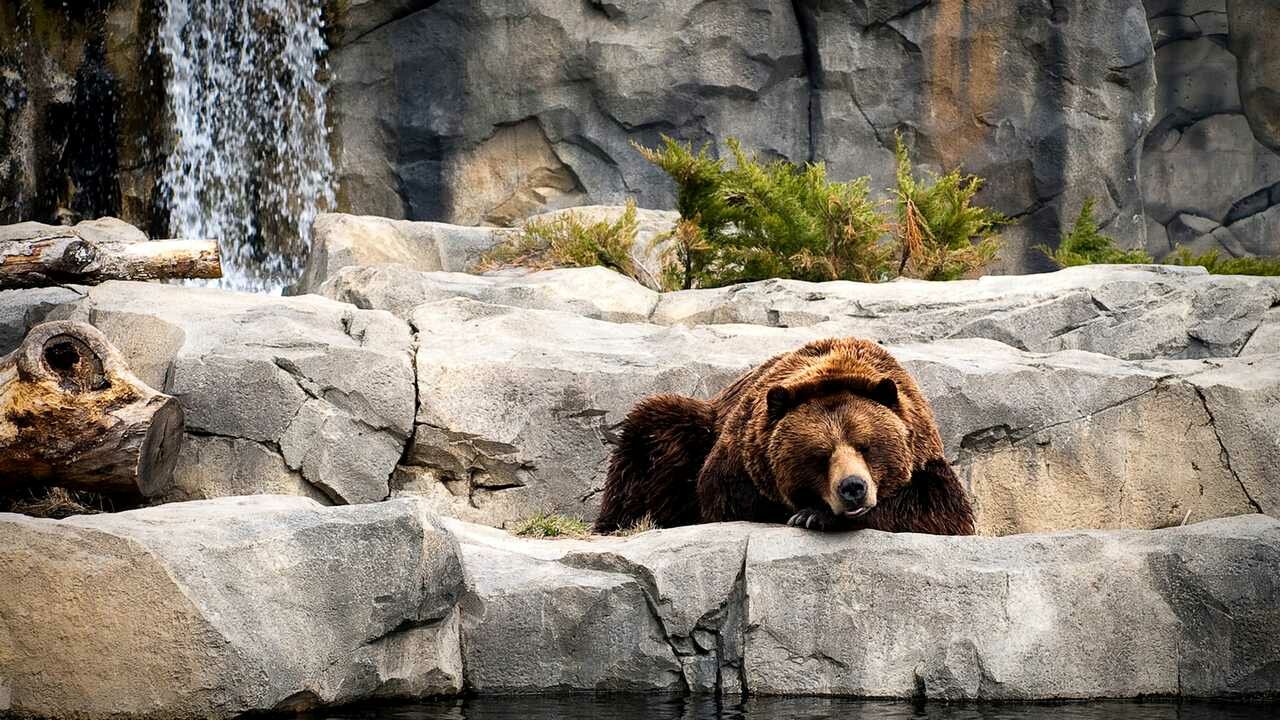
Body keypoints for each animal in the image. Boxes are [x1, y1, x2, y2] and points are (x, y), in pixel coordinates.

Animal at [593, 335, 972, 532]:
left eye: (865, 446)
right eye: (820, 456)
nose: (853, 488)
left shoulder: (924, 454)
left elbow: (939, 510)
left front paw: (814, 515)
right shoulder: (740, 457)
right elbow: (723, 496)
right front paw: (808, 512)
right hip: (693, 426)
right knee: (652, 432)